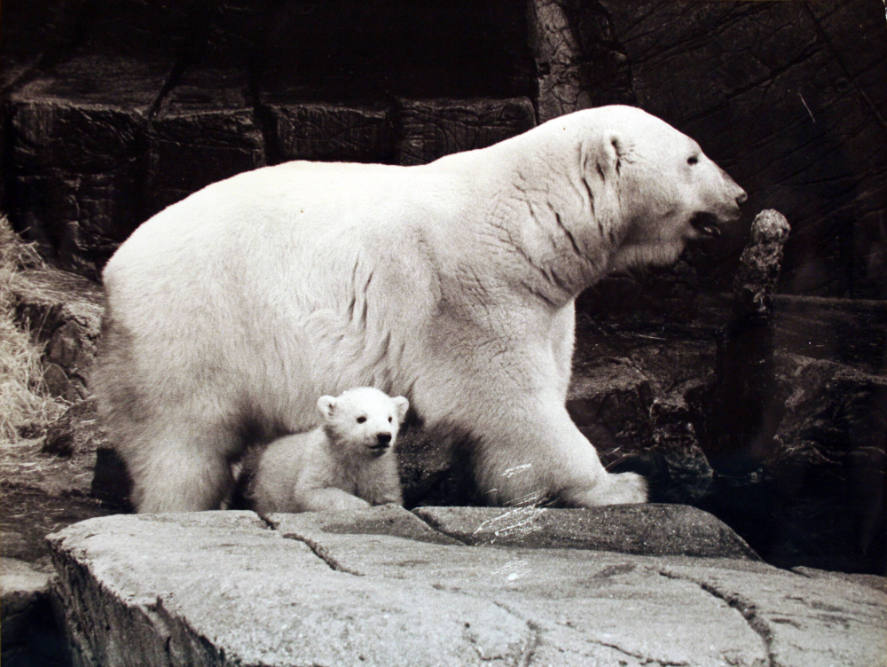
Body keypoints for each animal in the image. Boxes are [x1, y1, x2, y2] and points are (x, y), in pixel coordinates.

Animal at [245, 388, 408, 516]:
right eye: (361, 418)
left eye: (390, 418)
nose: (384, 436)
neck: (353, 455)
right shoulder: (324, 461)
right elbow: (311, 490)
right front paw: (361, 505)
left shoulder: (380, 470)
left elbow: (386, 495)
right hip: (269, 489)